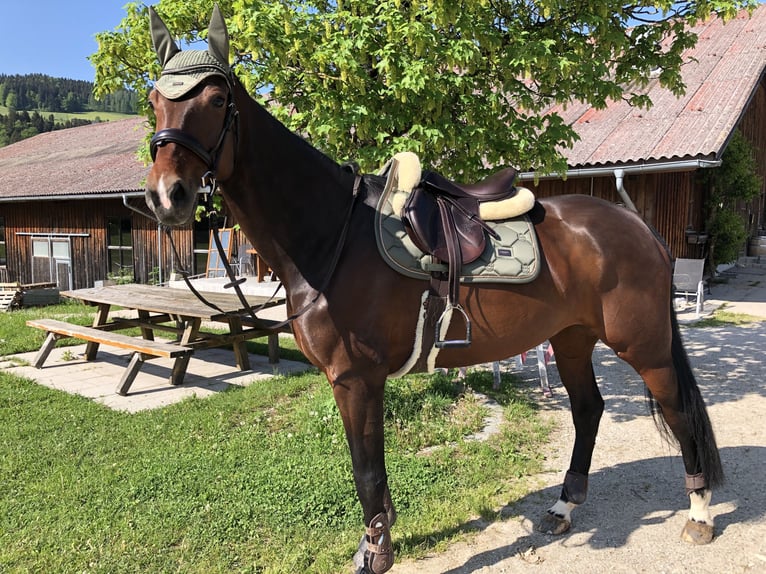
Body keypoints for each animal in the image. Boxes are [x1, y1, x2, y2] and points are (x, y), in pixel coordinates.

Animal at [145, 7, 723, 573]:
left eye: (217, 99)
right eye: (154, 100)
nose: (166, 196)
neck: (332, 234)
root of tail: (639, 227)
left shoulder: (355, 380)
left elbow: (367, 474)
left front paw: (375, 555)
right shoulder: (357, 382)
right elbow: (372, 475)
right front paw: (378, 543)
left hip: (643, 347)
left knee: (678, 411)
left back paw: (698, 513)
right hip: (572, 339)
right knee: (589, 411)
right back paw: (563, 507)